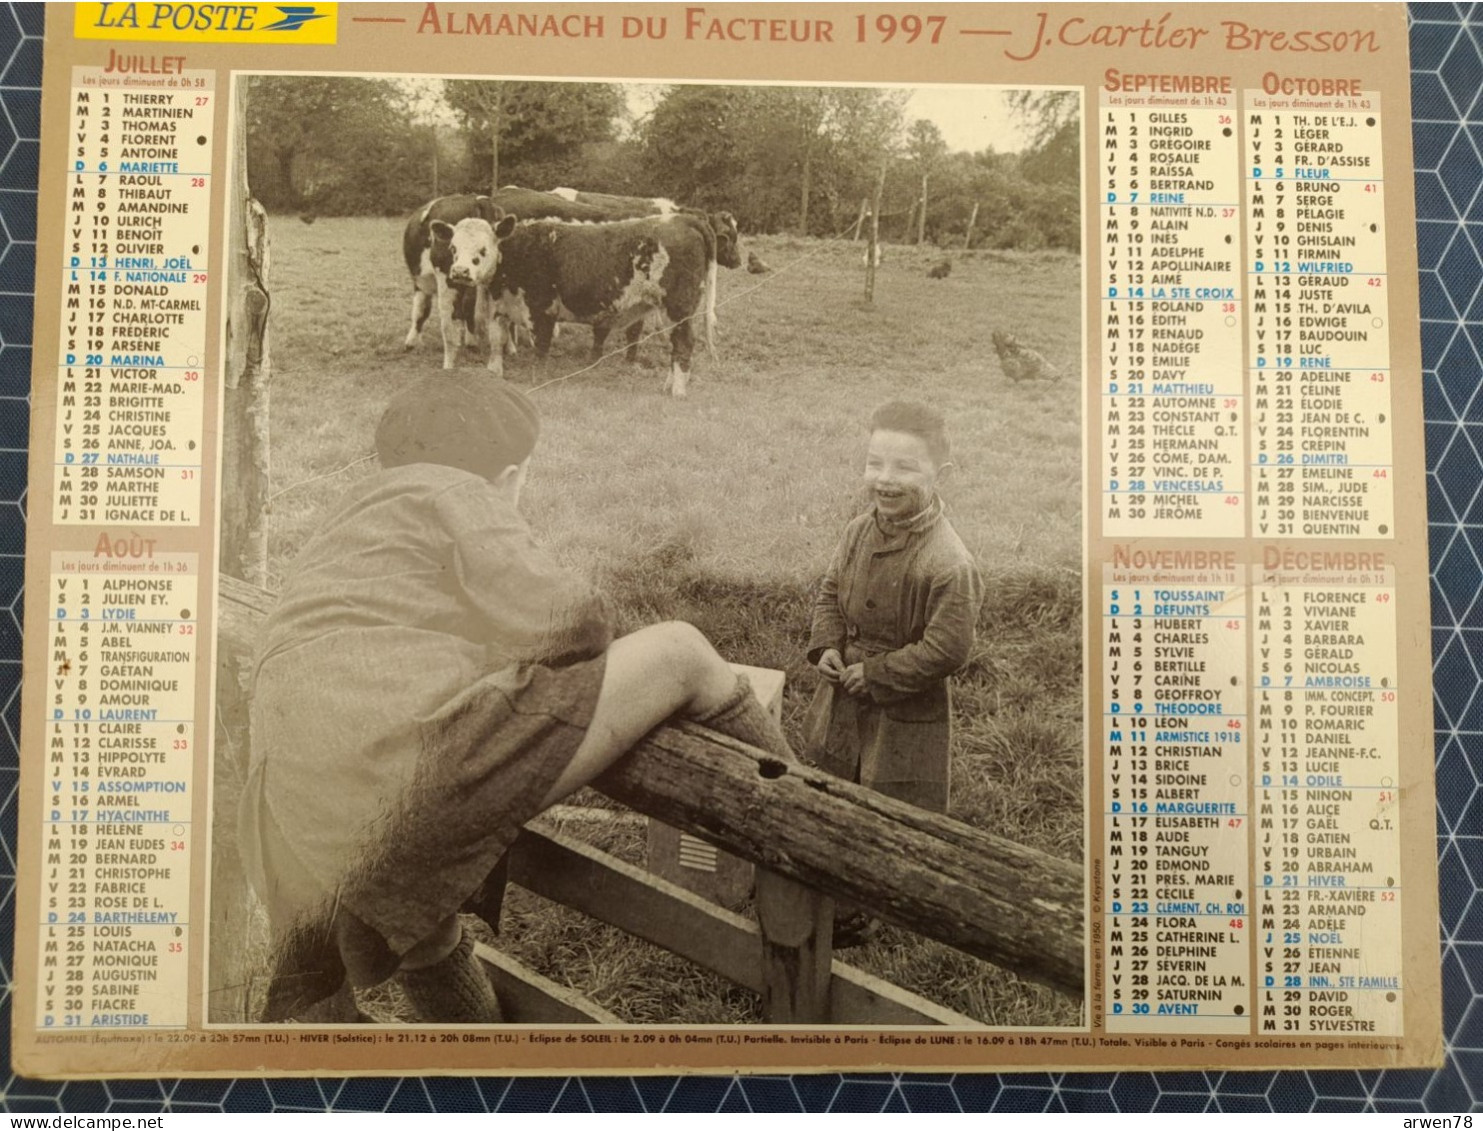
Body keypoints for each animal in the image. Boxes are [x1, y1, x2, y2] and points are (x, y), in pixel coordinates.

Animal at [483, 214, 714, 397]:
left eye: (483, 250)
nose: (469, 273)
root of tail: (681, 218)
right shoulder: (497, 309)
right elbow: (496, 342)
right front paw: (493, 375)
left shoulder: (542, 311)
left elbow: (540, 348)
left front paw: (537, 380)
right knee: (676, 345)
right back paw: (668, 386)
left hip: (678, 308)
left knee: (684, 343)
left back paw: (678, 391)